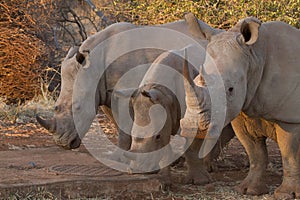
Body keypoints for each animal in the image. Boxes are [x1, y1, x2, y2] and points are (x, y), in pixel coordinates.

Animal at [36, 12, 214, 150]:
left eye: (77, 107)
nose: (62, 144)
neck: (93, 66)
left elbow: (125, 127)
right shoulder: (104, 92)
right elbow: (118, 124)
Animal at [123, 44, 236, 185]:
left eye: (157, 136)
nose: (140, 171)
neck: (162, 92)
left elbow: (190, 146)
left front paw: (199, 181)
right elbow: (166, 148)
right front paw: (166, 180)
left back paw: (209, 167)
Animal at [180, 17, 300, 198]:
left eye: (230, 89)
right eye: (197, 80)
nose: (192, 128)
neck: (255, 56)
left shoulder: (290, 118)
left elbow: (290, 155)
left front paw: (286, 195)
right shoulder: (243, 113)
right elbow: (256, 154)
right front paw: (248, 190)